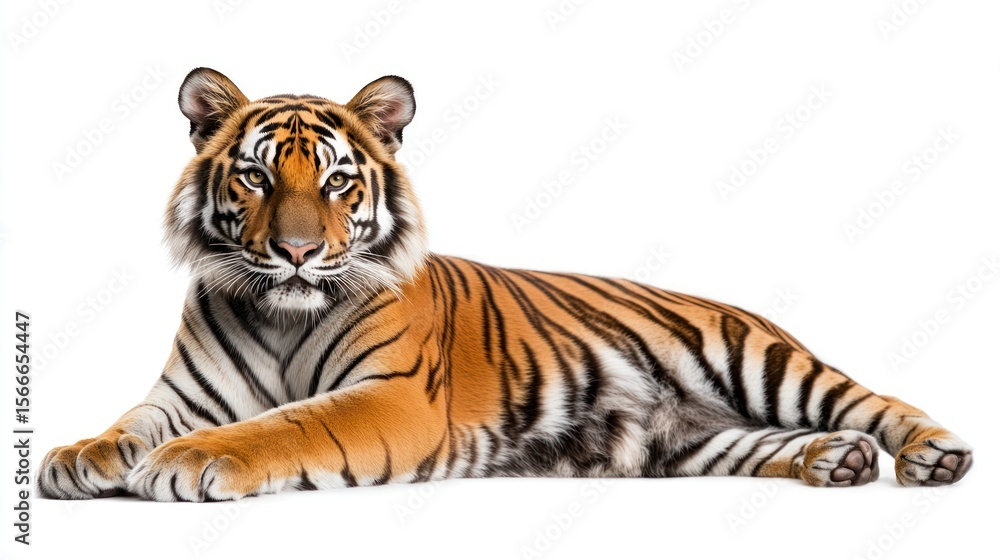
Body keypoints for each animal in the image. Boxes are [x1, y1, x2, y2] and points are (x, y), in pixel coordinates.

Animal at [38, 68, 972, 502]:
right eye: (258, 178)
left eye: (337, 182)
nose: (299, 252)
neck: (282, 313)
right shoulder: (184, 393)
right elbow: (131, 422)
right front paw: (77, 457)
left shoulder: (392, 397)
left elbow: (283, 425)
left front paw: (190, 462)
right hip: (679, 443)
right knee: (760, 442)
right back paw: (836, 462)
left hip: (763, 361)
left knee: (872, 401)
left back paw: (931, 455)